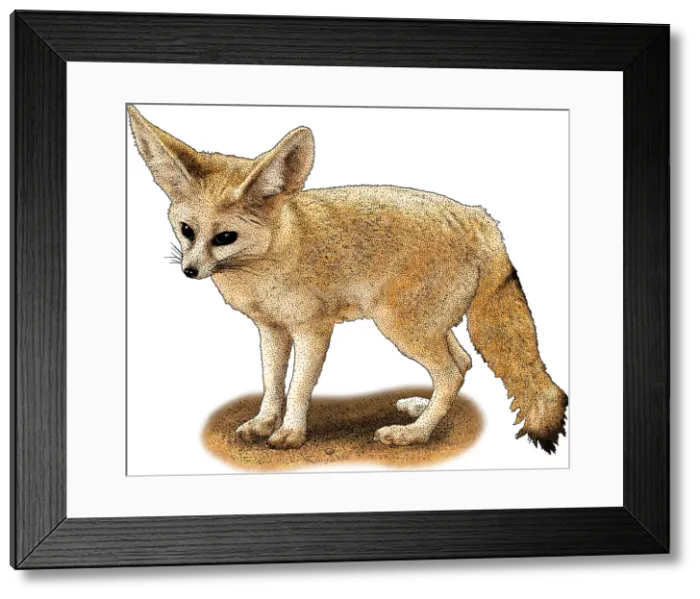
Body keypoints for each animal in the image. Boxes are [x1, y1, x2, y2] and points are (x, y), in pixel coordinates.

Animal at [127, 105, 568, 453]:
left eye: (224, 238)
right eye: (186, 230)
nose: (190, 271)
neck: (277, 251)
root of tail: (477, 216)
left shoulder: (313, 329)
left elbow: (298, 387)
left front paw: (290, 433)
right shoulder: (271, 328)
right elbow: (272, 382)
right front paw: (263, 423)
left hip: (402, 328)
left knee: (452, 371)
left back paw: (414, 434)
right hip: (429, 326)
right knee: (462, 362)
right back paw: (421, 410)